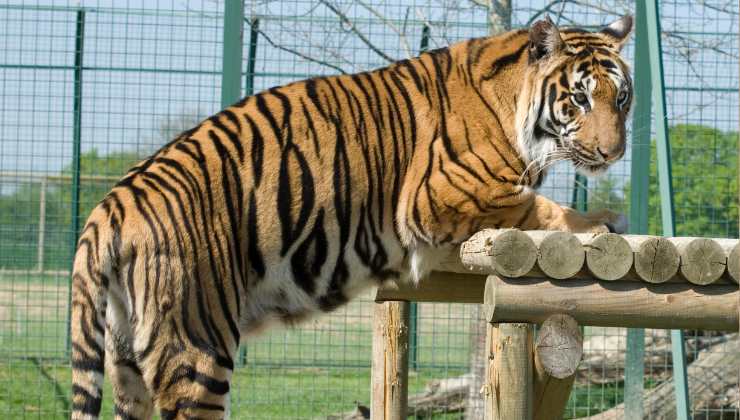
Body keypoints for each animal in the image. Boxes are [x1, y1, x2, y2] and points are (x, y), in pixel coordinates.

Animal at [70, 15, 633, 419]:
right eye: (579, 98)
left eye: (622, 98)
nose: (614, 152)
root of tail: (107, 208)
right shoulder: (440, 196)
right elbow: (537, 204)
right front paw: (602, 221)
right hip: (195, 345)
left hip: (127, 364)